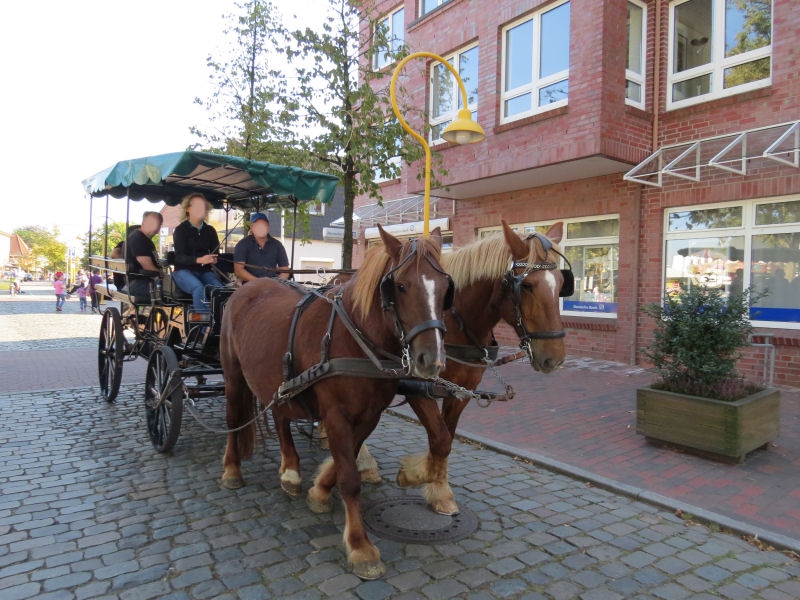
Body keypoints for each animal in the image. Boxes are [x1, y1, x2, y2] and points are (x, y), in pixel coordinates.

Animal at [222, 224, 454, 576]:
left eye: (444, 289)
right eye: (400, 286)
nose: (431, 360)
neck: (355, 337)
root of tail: (246, 288)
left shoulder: (368, 415)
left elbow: (347, 462)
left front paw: (319, 491)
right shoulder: (335, 415)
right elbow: (349, 478)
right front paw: (360, 547)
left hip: (278, 381)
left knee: (280, 417)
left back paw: (290, 470)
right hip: (234, 377)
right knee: (234, 418)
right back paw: (232, 469)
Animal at [356, 220, 568, 516]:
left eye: (561, 283)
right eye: (526, 286)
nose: (554, 358)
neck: (456, 323)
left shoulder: (462, 391)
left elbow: (446, 438)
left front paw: (438, 487)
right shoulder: (418, 388)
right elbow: (440, 438)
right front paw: (415, 475)